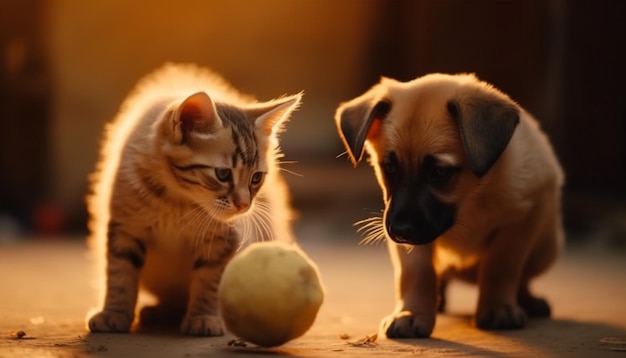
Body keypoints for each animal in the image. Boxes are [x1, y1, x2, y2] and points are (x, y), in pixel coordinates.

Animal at [86, 62, 302, 336]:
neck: (177, 201)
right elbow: (120, 273)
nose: (244, 204)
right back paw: (161, 311)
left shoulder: (223, 240)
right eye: (223, 174)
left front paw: (204, 317)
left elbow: (209, 281)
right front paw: (113, 313)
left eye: (256, 178)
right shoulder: (126, 226)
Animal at [334, 73, 564, 338]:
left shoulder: (520, 220)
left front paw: (498, 308)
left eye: (439, 172)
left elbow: (502, 267)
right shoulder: (413, 243)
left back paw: (527, 301)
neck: (472, 199)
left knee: (523, 277)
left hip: (547, 249)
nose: (400, 231)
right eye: (390, 167)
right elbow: (416, 273)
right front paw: (411, 313)